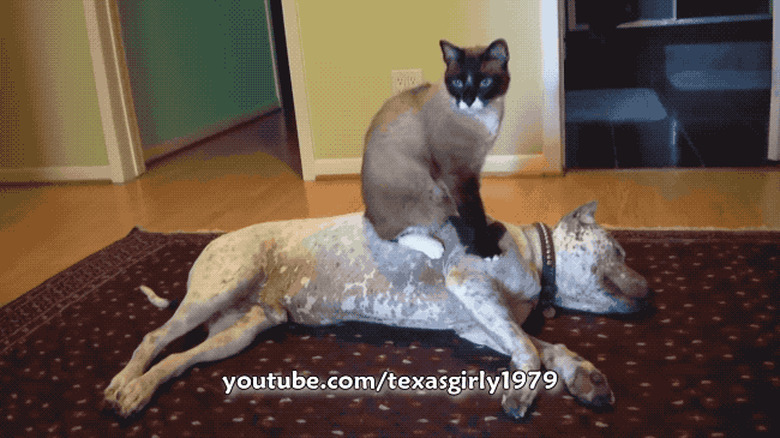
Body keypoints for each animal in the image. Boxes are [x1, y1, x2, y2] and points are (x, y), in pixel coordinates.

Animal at [105, 200, 652, 420]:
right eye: (619, 251)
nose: (651, 291)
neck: (535, 256)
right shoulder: (472, 289)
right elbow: (533, 353)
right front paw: (523, 393)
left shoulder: (478, 324)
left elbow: (545, 347)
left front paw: (582, 375)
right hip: (220, 288)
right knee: (154, 339)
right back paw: (123, 383)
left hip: (239, 331)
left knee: (179, 360)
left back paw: (138, 391)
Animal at [362, 39, 512, 258]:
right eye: (458, 83)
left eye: (485, 82)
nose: (468, 100)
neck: (480, 120)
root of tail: (368, 212)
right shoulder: (460, 177)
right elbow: (474, 216)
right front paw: (486, 250)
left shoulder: (475, 170)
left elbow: (477, 214)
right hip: (424, 196)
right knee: (393, 235)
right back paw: (435, 247)